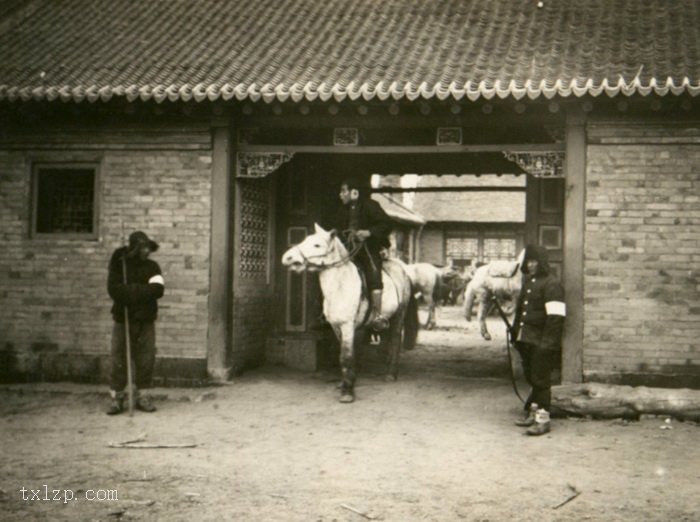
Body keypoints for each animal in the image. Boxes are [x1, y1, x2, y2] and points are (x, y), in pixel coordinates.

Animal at [282, 223, 418, 402]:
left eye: (317, 245)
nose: (287, 258)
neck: (340, 285)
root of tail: (402, 268)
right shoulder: (336, 327)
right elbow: (345, 355)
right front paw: (345, 383)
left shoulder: (347, 326)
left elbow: (345, 356)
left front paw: (347, 391)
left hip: (399, 315)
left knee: (394, 339)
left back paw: (390, 374)